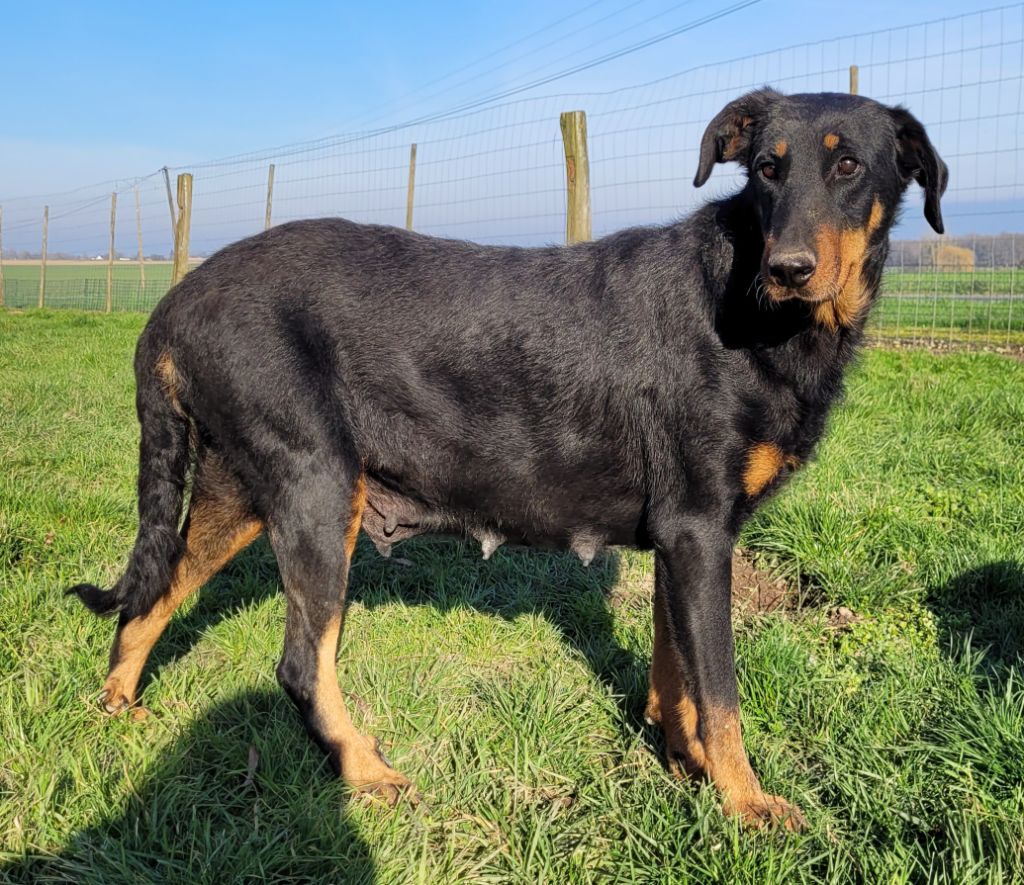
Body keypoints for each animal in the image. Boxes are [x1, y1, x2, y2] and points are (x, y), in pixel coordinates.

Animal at [69, 88, 946, 830]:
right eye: (767, 167)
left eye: (848, 166)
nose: (788, 269)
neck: (749, 304)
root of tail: (177, 302)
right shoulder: (701, 531)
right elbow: (721, 692)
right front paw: (746, 801)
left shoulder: (681, 540)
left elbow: (677, 673)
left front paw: (681, 762)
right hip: (318, 491)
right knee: (298, 664)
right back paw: (365, 770)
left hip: (238, 491)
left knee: (152, 595)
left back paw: (115, 704)